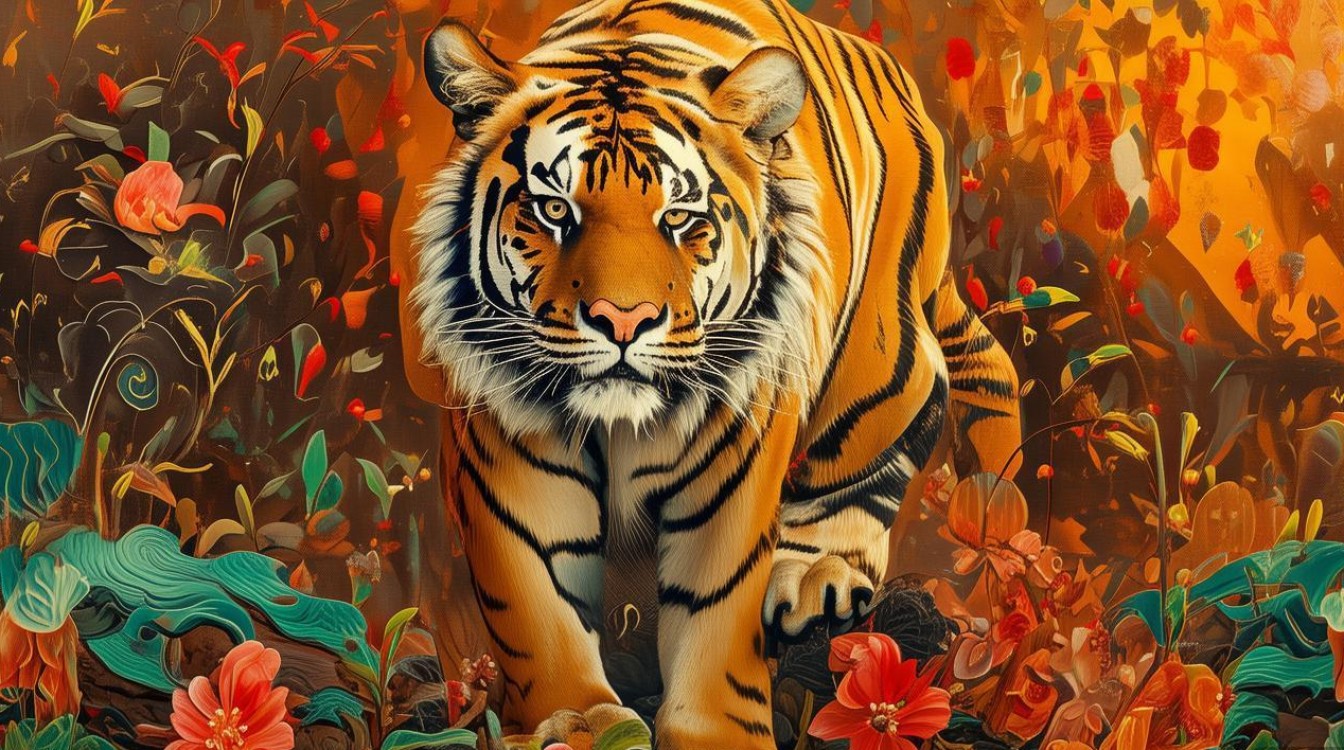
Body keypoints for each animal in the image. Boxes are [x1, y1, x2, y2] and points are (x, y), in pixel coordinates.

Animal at [409, 1, 1021, 747]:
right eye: (554, 209)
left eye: (679, 217)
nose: (623, 320)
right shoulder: (511, 458)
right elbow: (540, 611)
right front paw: (577, 722)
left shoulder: (737, 457)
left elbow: (718, 609)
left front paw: (716, 731)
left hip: (881, 353)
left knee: (894, 425)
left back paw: (817, 574)